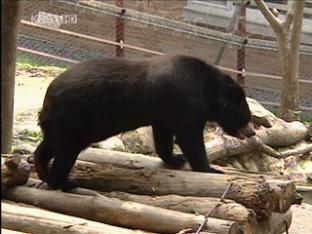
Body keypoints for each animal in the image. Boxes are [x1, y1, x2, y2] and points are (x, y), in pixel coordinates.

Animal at [34, 54, 254, 190]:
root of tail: (47, 98)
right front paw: (210, 169)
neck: (208, 90)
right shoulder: (185, 102)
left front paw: (175, 159)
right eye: (245, 116)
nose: (252, 132)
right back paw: (65, 183)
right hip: (74, 122)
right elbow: (190, 137)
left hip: (65, 125)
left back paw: (42, 169)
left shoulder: (164, 112)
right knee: (66, 153)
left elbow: (163, 135)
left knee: (49, 146)